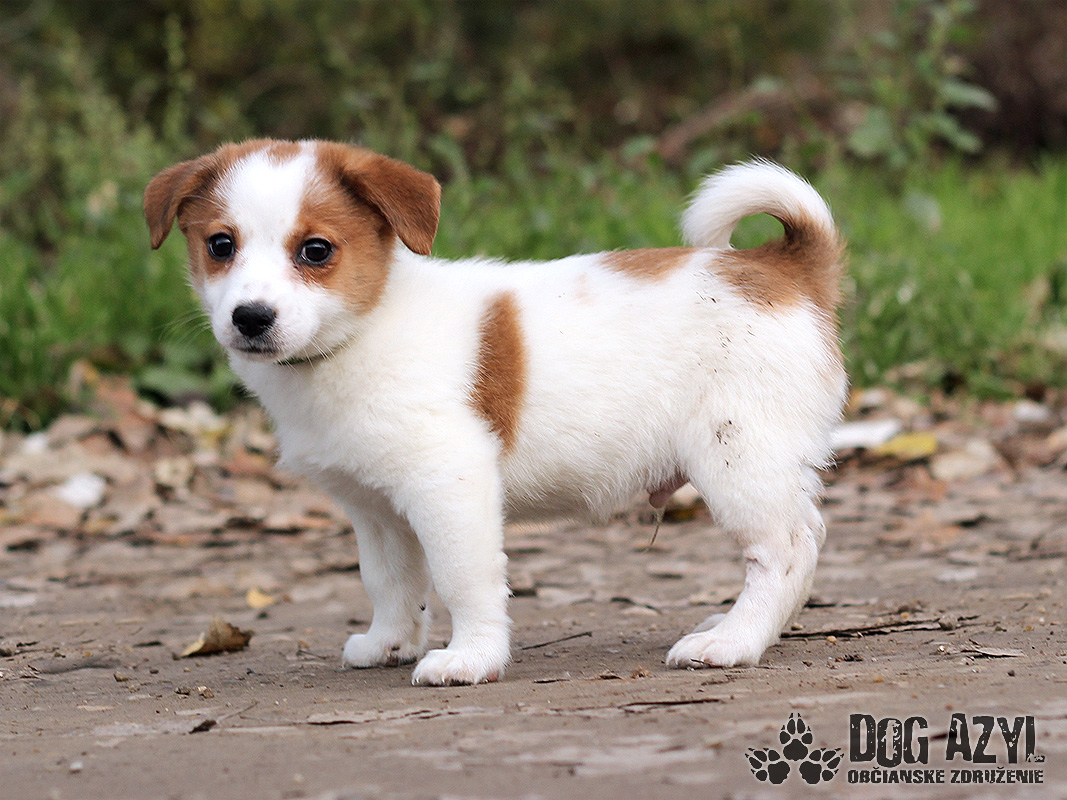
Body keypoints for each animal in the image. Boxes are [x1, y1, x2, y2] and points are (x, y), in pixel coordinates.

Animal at [144, 139, 846, 685]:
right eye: (220, 245)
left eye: (315, 251)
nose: (250, 317)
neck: (365, 329)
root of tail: (780, 269)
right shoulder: (375, 509)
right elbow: (391, 582)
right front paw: (390, 642)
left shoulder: (449, 485)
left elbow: (463, 580)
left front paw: (471, 658)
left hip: (737, 457)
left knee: (787, 548)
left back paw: (734, 641)